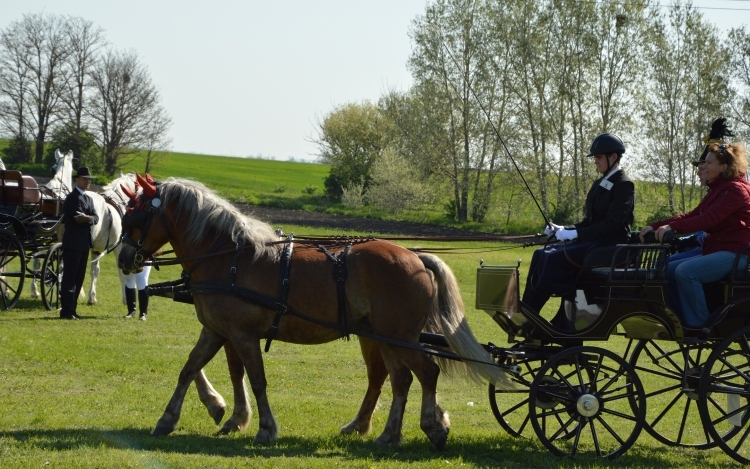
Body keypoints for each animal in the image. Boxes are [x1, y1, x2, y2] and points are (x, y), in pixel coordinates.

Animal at [117, 176, 512, 450]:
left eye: (137, 217)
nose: (123, 260)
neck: (228, 256)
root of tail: (415, 257)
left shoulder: (242, 334)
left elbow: (255, 379)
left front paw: (265, 428)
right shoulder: (216, 330)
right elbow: (190, 369)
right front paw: (171, 418)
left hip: (398, 336)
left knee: (426, 373)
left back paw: (432, 426)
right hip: (384, 337)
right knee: (400, 380)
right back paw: (387, 434)